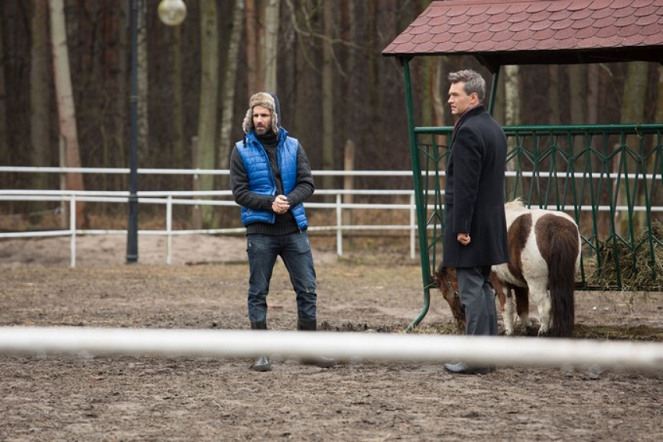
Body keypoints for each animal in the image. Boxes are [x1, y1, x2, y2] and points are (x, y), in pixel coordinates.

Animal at [434, 199, 580, 336]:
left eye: (446, 295)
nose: (460, 324)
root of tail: (557, 228)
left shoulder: (500, 281)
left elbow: (506, 307)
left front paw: (509, 331)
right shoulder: (520, 284)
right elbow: (522, 307)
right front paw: (526, 328)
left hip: (536, 283)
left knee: (545, 306)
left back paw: (543, 332)